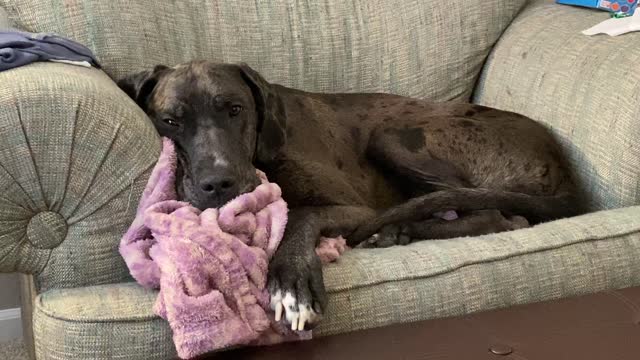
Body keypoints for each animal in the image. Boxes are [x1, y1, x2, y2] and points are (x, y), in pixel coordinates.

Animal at [117, 60, 584, 330]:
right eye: (169, 121)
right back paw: (397, 232)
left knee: (497, 215)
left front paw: (292, 282)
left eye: (234, 109)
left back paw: (396, 230)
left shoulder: (353, 206)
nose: (219, 184)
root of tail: (562, 165)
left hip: (394, 134)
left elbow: (301, 215)